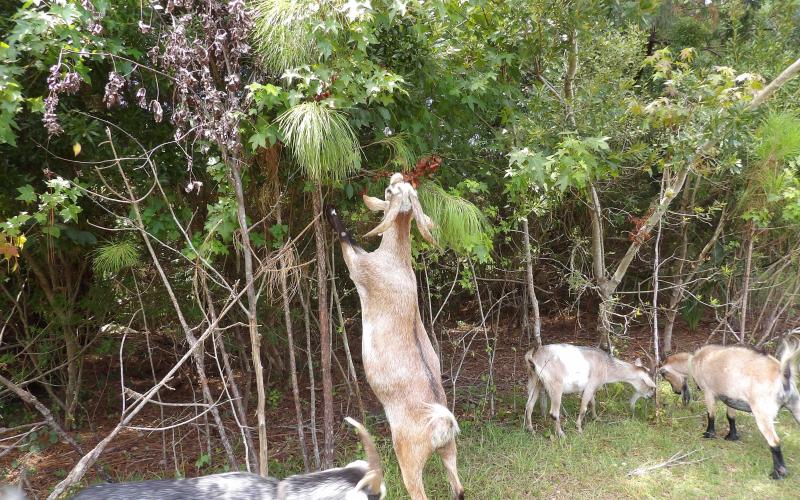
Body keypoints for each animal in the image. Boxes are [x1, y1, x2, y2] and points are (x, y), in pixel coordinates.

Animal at [327, 173, 464, 500]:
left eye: (394, 191)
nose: (395, 176)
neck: (396, 259)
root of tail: (441, 424)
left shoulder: (360, 268)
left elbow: (346, 240)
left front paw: (331, 210)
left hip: (408, 458)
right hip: (449, 451)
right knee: (458, 488)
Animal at [524, 343, 656, 437]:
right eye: (650, 385)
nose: (651, 396)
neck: (606, 365)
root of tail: (534, 359)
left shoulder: (589, 387)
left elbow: (593, 402)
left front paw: (596, 418)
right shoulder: (591, 385)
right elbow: (583, 408)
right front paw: (579, 429)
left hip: (535, 382)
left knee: (529, 406)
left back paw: (531, 430)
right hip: (556, 386)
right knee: (553, 413)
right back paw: (561, 434)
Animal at [659, 340, 800, 479]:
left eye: (665, 375)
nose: (676, 392)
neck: (695, 361)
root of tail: (783, 375)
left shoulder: (709, 392)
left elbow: (711, 415)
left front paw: (709, 434)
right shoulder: (730, 399)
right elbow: (730, 417)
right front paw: (732, 436)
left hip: (762, 413)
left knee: (775, 441)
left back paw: (778, 473)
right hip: (796, 406)